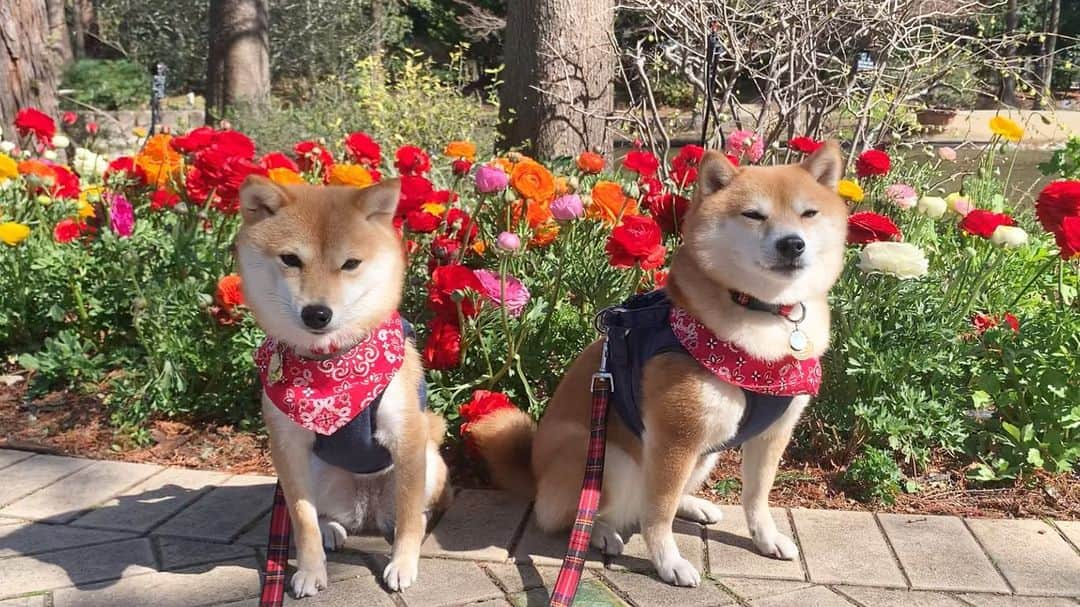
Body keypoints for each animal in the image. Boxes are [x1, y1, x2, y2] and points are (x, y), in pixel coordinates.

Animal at [236, 176, 451, 596]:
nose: (317, 313)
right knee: (324, 516)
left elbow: (408, 515)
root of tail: (367, 510)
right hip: (318, 473)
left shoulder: (406, 437)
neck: (332, 366)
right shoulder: (288, 446)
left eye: (350, 264)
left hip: (430, 462)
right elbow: (302, 520)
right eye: (290, 259)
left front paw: (403, 563)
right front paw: (310, 571)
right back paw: (332, 531)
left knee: (412, 512)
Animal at [473, 143, 851, 583]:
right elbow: (658, 513)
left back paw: (693, 505)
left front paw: (767, 538)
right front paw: (668, 562)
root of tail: (535, 476)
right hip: (608, 458)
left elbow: (756, 496)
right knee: (577, 515)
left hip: (707, 452)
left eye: (809, 213)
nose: (792, 243)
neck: (764, 318)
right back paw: (601, 533)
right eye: (754, 214)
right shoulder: (674, 437)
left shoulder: (773, 431)